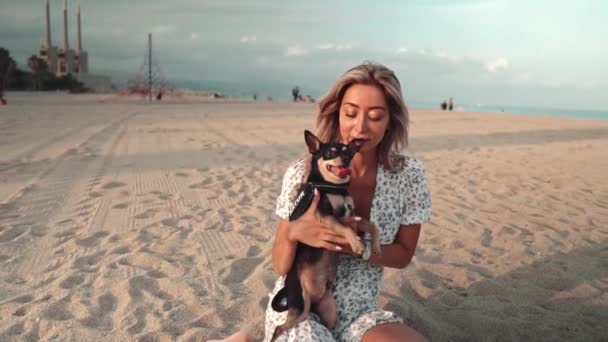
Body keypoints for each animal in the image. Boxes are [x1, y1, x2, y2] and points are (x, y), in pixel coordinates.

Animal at [270, 130, 380, 340]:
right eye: (330, 152)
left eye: (349, 152)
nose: (345, 158)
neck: (331, 186)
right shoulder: (326, 217)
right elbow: (345, 229)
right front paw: (358, 245)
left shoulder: (354, 217)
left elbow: (372, 226)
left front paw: (373, 248)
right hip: (300, 305)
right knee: (279, 328)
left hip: (328, 311)